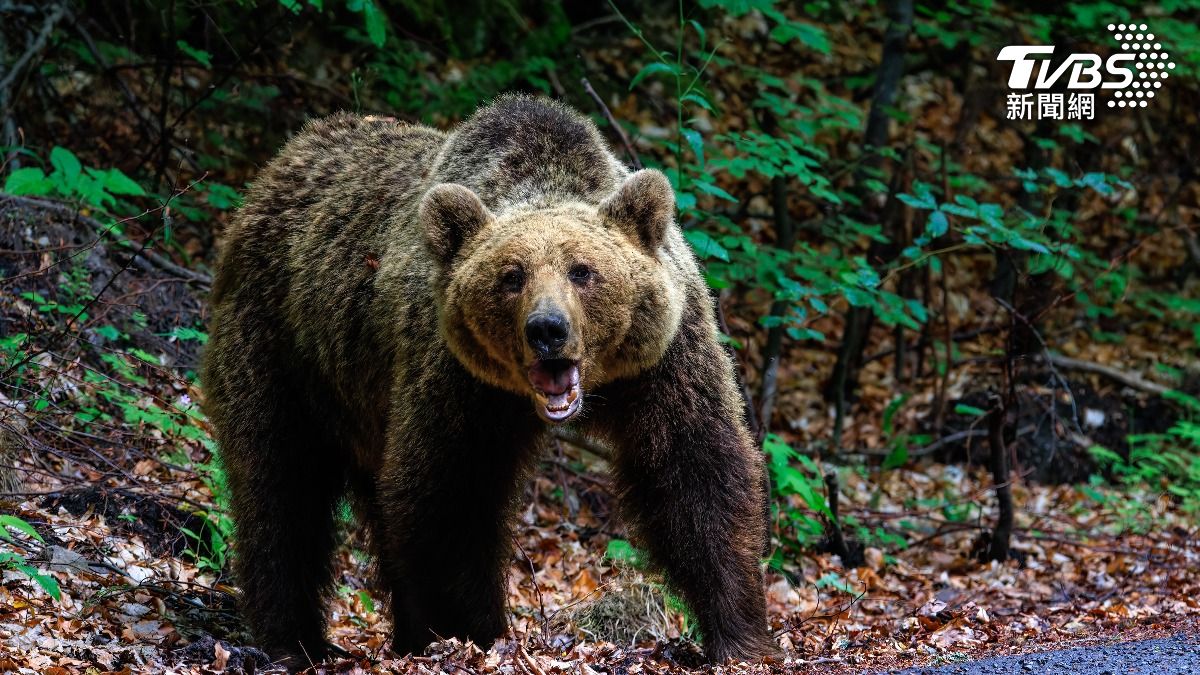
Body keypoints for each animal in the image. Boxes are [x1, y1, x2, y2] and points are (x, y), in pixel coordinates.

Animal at [200, 94, 775, 669]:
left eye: (582, 270)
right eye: (512, 275)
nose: (547, 329)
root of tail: (279, 165)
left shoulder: (662, 361)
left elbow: (696, 472)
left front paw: (737, 634)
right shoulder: (458, 379)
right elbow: (450, 496)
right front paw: (474, 632)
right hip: (282, 349)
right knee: (280, 487)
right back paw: (295, 639)